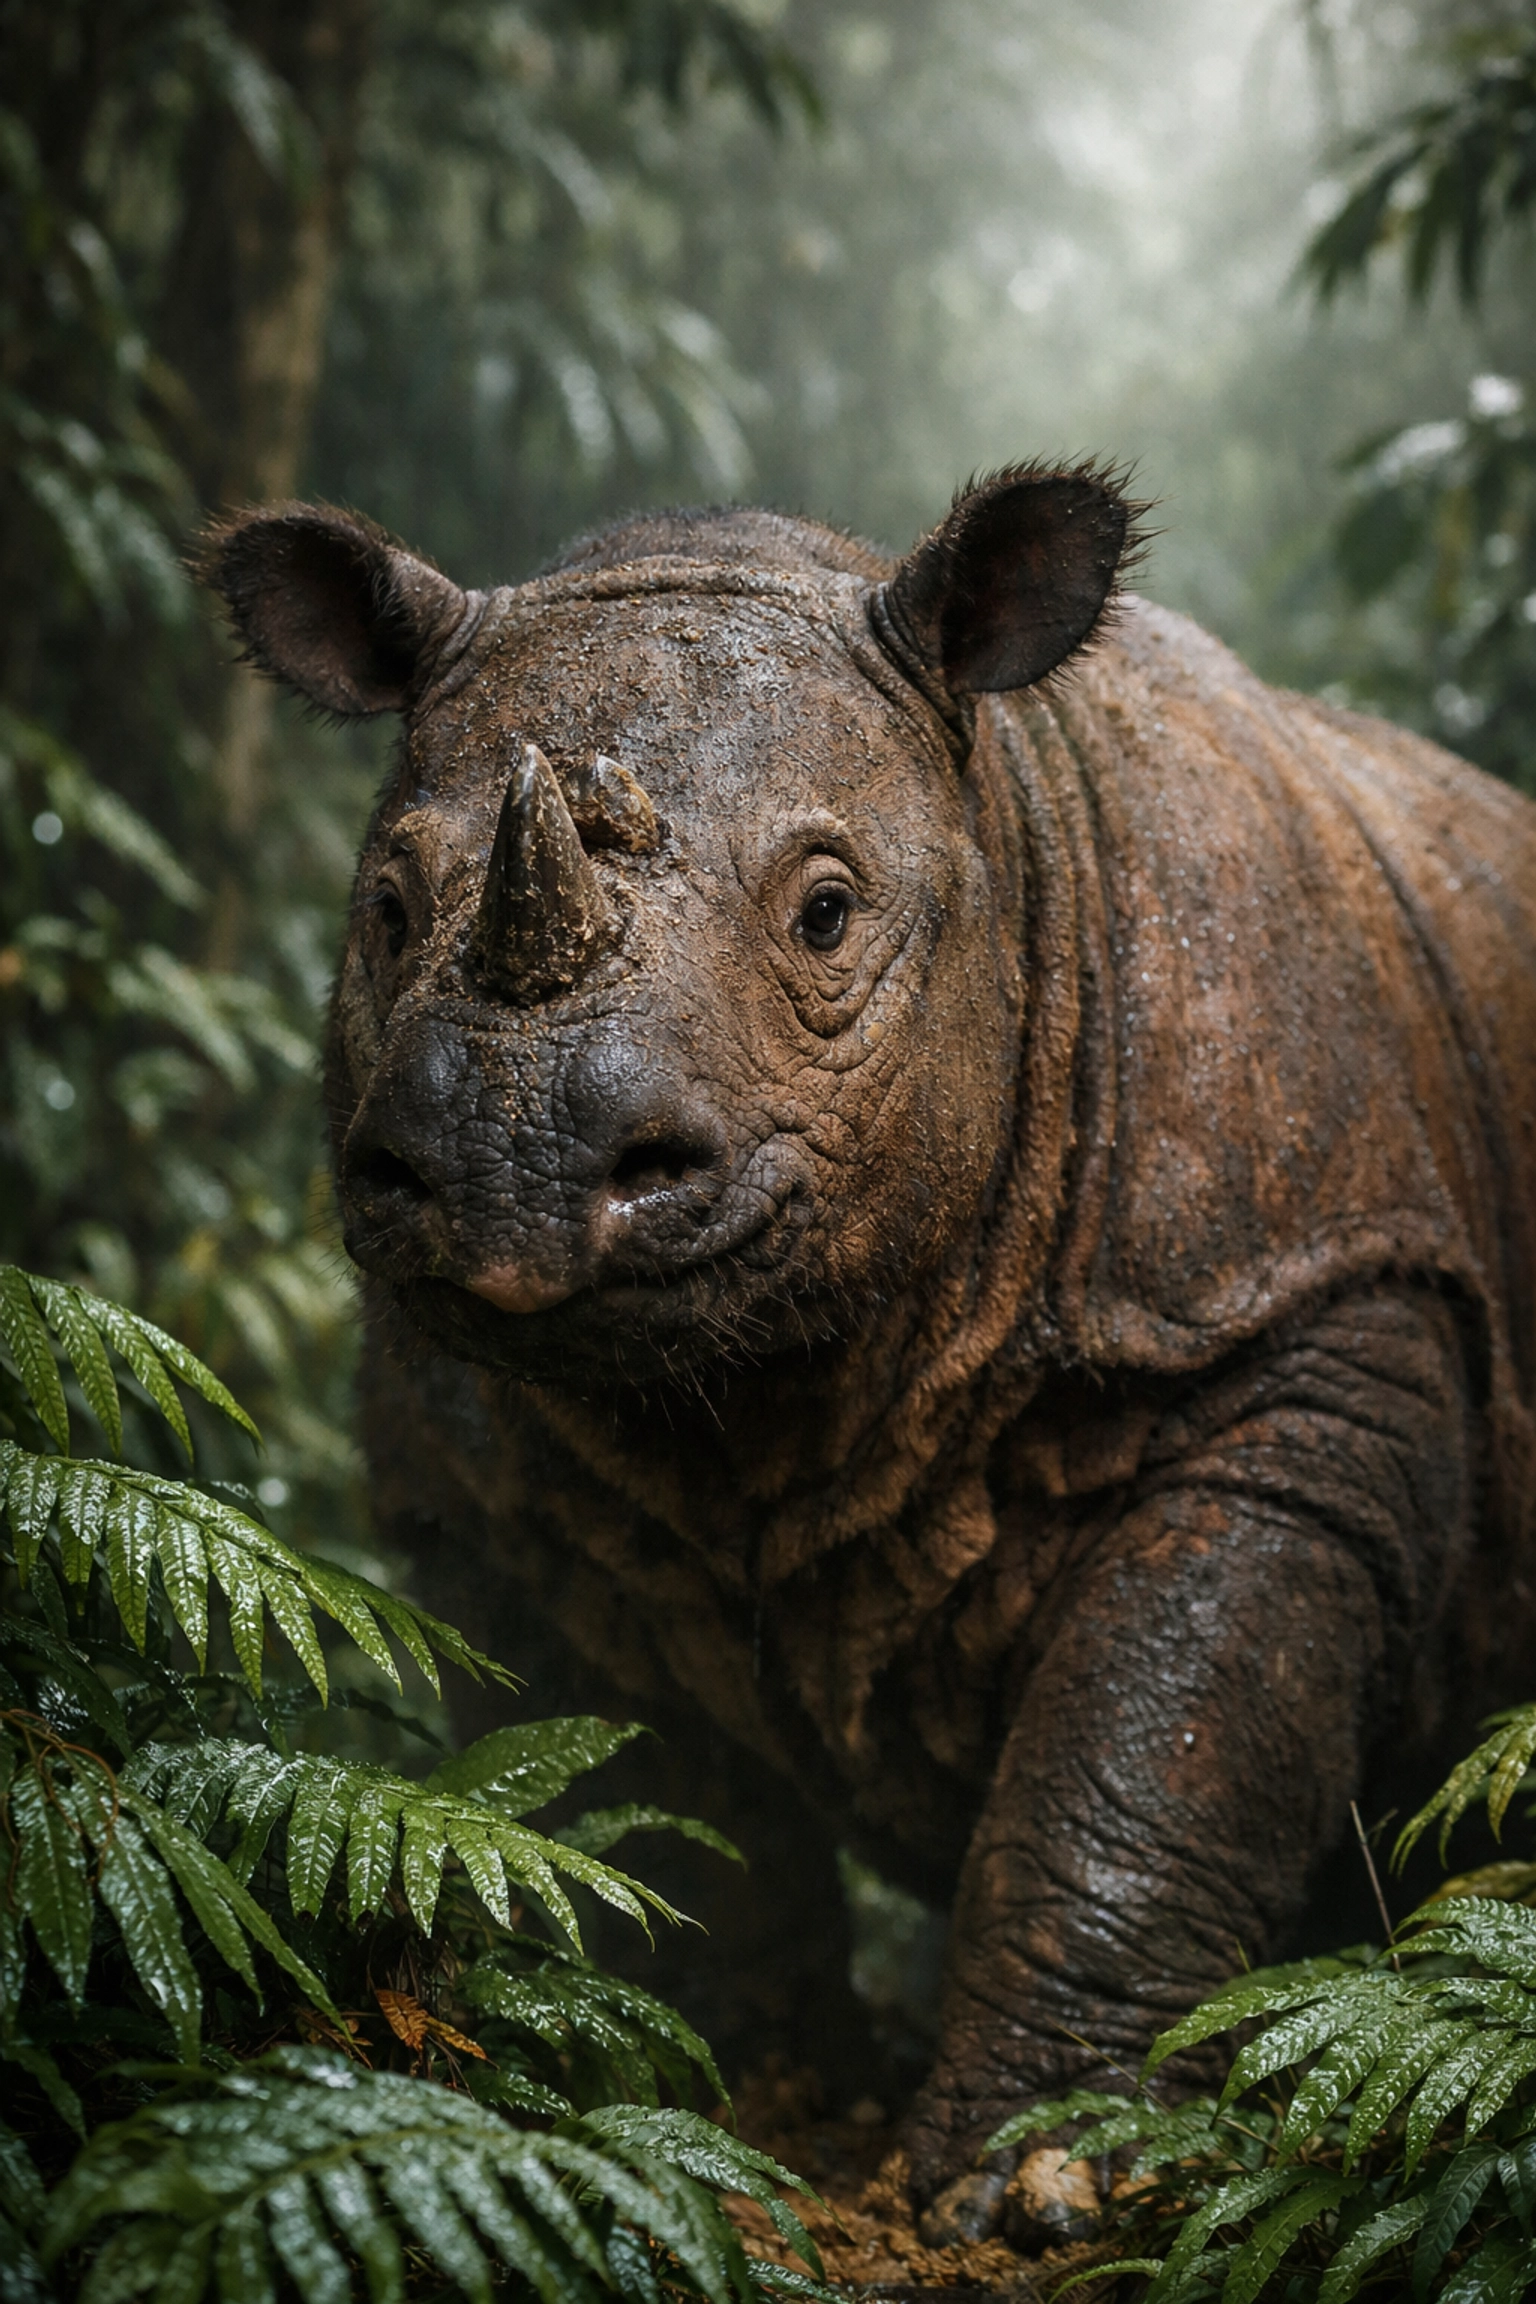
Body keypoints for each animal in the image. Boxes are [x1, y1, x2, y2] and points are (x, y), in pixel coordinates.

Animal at [208, 466, 1536, 2233]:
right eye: (387, 911)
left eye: (829, 916)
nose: (514, 1166)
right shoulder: (483, 1480)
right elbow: (669, 1795)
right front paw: (747, 2107)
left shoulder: (1299, 1319)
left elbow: (1165, 1741)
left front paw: (1045, 2181)